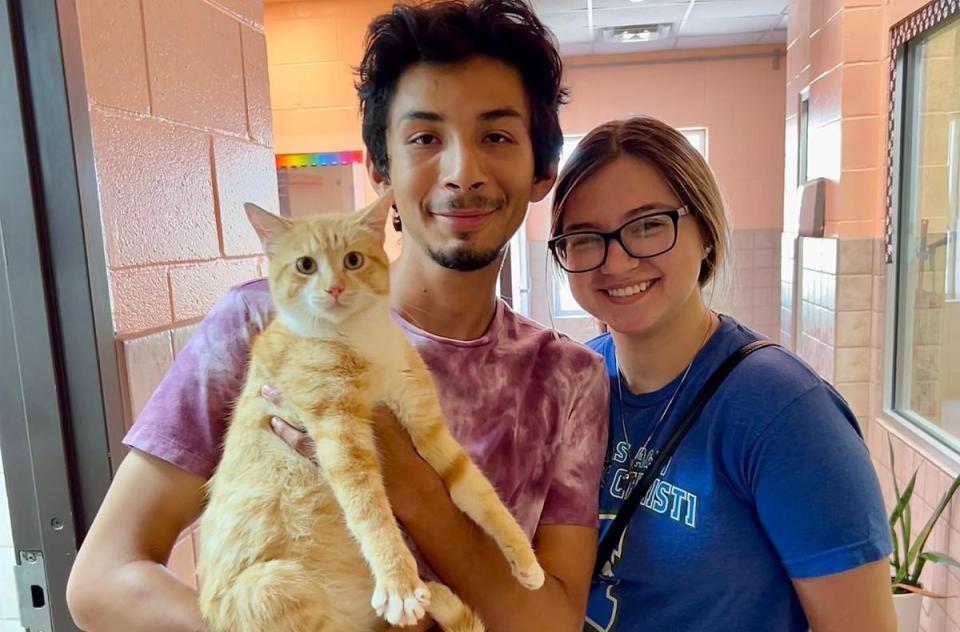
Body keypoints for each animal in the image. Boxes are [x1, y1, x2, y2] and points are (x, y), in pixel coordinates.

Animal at [197, 194, 540, 632]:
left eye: (354, 260)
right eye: (305, 265)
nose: (335, 288)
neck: (359, 335)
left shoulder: (426, 423)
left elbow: (479, 491)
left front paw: (524, 559)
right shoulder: (340, 435)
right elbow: (370, 510)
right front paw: (400, 584)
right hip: (271, 586)